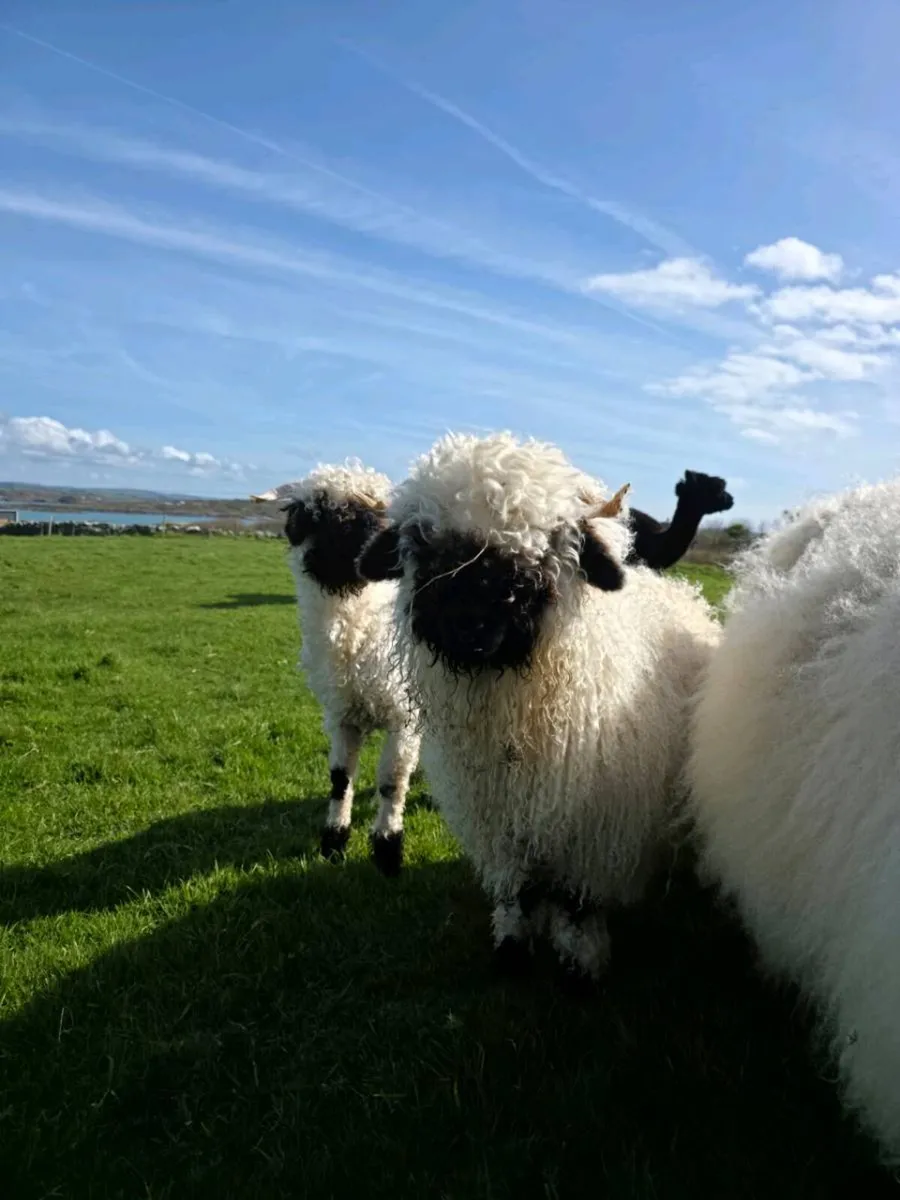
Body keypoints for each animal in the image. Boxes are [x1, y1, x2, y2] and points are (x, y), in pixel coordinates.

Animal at [254, 461, 421, 876]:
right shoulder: (342, 715)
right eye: (324, 517)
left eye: (381, 515)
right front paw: (333, 841)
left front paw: (387, 849)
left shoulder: (404, 716)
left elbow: (392, 782)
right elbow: (339, 780)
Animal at [357, 431, 721, 982]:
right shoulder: (496, 821)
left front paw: (581, 959)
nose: (470, 622)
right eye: (422, 542)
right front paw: (513, 944)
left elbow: (577, 901)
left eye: (547, 544)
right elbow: (519, 891)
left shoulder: (597, 832)